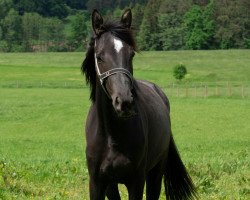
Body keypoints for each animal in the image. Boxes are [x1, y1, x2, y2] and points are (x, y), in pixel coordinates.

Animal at [81, 9, 196, 200]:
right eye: (99, 56)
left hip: (155, 172)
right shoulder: (99, 183)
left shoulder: (136, 181)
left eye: (131, 54)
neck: (112, 137)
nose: (125, 102)